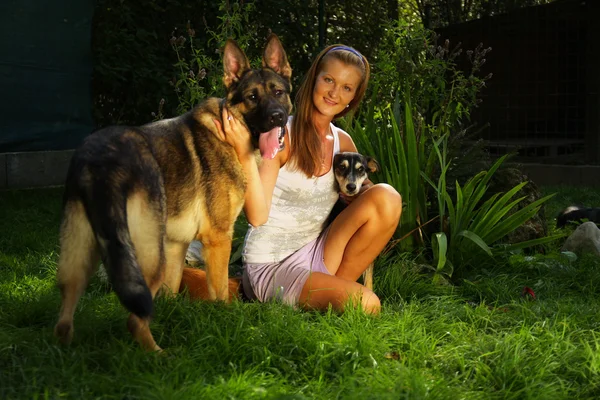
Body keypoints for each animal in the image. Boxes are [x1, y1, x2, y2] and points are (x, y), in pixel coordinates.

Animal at [55, 34, 294, 350]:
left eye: (278, 92)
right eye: (252, 97)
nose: (277, 117)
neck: (230, 132)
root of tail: (99, 158)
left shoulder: (176, 245)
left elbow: (170, 295)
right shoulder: (218, 239)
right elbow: (220, 294)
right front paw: (227, 324)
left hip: (84, 253)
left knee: (65, 314)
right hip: (147, 256)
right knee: (134, 319)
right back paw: (158, 355)